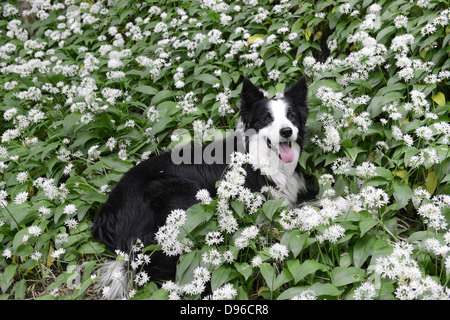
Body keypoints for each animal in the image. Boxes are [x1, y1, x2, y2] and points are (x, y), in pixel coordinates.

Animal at [92, 76, 312, 298]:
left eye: (291, 116)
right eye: (267, 118)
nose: (287, 131)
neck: (261, 159)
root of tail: (106, 213)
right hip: (180, 192)